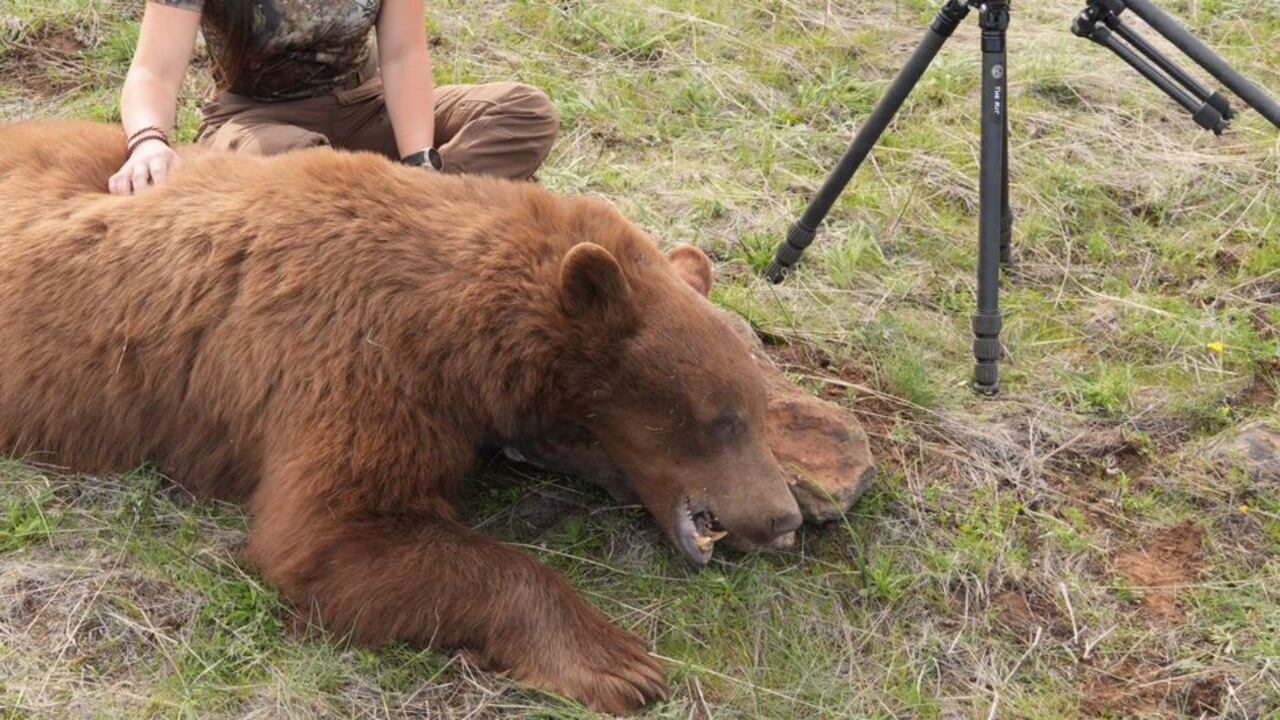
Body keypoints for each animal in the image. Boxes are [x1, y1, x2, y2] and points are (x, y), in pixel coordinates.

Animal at [0, 120, 804, 714]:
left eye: (756, 409)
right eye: (722, 418)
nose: (781, 517)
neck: (458, 320)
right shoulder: (357, 360)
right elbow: (334, 534)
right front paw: (616, 661)